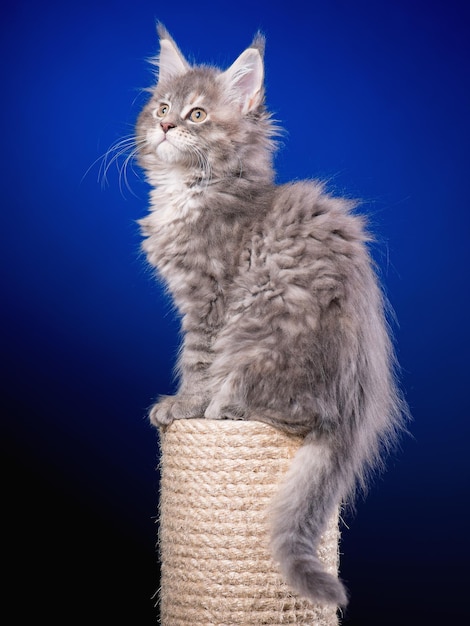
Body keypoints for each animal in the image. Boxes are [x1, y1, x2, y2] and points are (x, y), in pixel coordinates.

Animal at [135, 24, 408, 604]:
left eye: (197, 115)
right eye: (163, 107)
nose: (166, 125)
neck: (195, 190)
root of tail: (356, 407)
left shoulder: (210, 300)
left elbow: (196, 362)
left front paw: (182, 407)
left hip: (262, 338)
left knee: (290, 411)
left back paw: (224, 409)